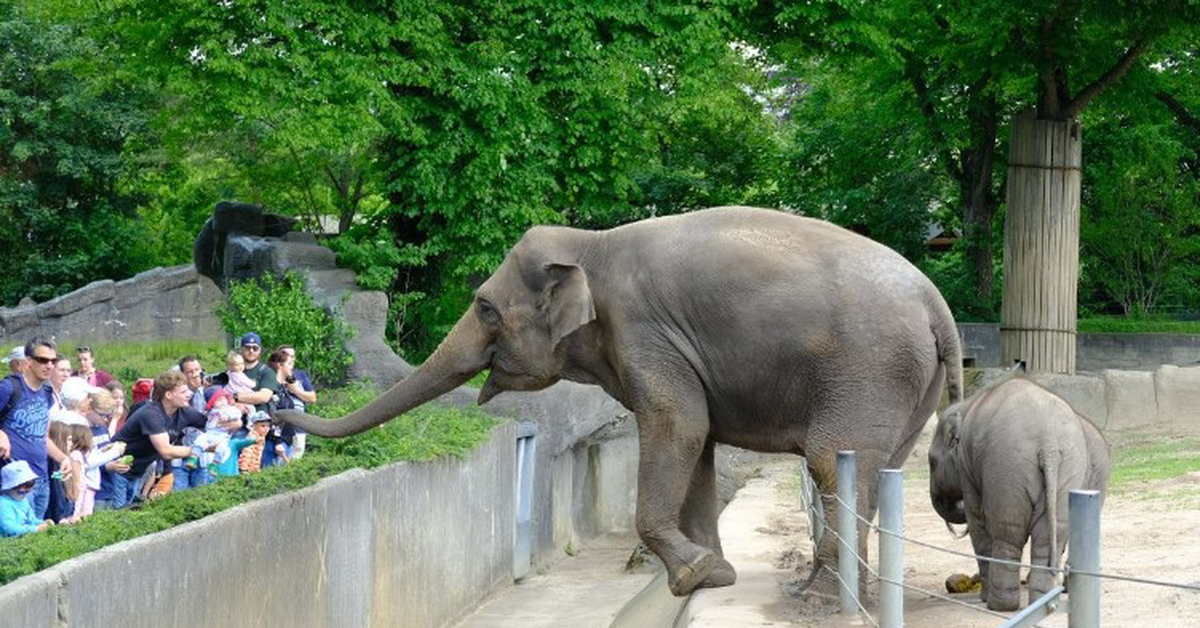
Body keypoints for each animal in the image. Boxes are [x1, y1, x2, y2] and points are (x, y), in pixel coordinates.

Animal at [276, 207, 960, 600]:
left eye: (486, 308)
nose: (278, 409)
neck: (590, 244)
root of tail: (938, 305)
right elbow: (697, 439)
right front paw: (714, 574)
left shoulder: (643, 331)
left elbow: (678, 426)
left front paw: (693, 577)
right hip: (906, 382)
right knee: (878, 465)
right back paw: (836, 593)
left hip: (869, 367)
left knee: (832, 459)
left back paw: (818, 599)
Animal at [926, 377, 1113, 612]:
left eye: (931, 463)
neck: (967, 405)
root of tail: (1049, 445)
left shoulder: (967, 469)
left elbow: (976, 519)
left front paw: (983, 598)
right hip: (1069, 469)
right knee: (1051, 535)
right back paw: (1045, 600)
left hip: (1008, 469)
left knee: (1008, 533)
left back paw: (999, 605)